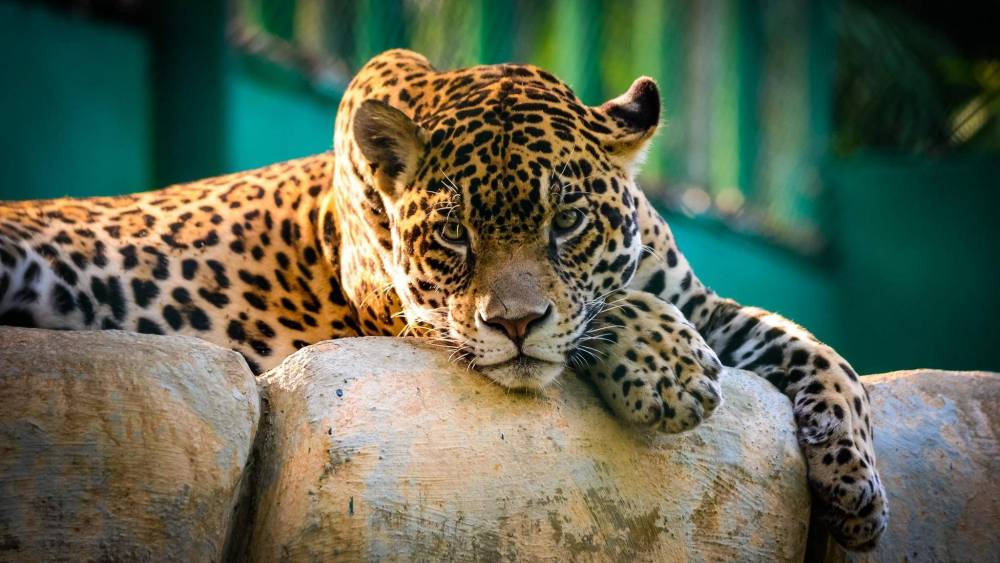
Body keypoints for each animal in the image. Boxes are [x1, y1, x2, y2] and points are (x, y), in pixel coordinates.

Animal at [0, 49, 887, 550]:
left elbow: (819, 351)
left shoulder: (704, 304)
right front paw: (668, 369)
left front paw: (857, 488)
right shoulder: (414, 319)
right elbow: (595, 319)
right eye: (454, 234)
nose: (515, 323)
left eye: (568, 221)